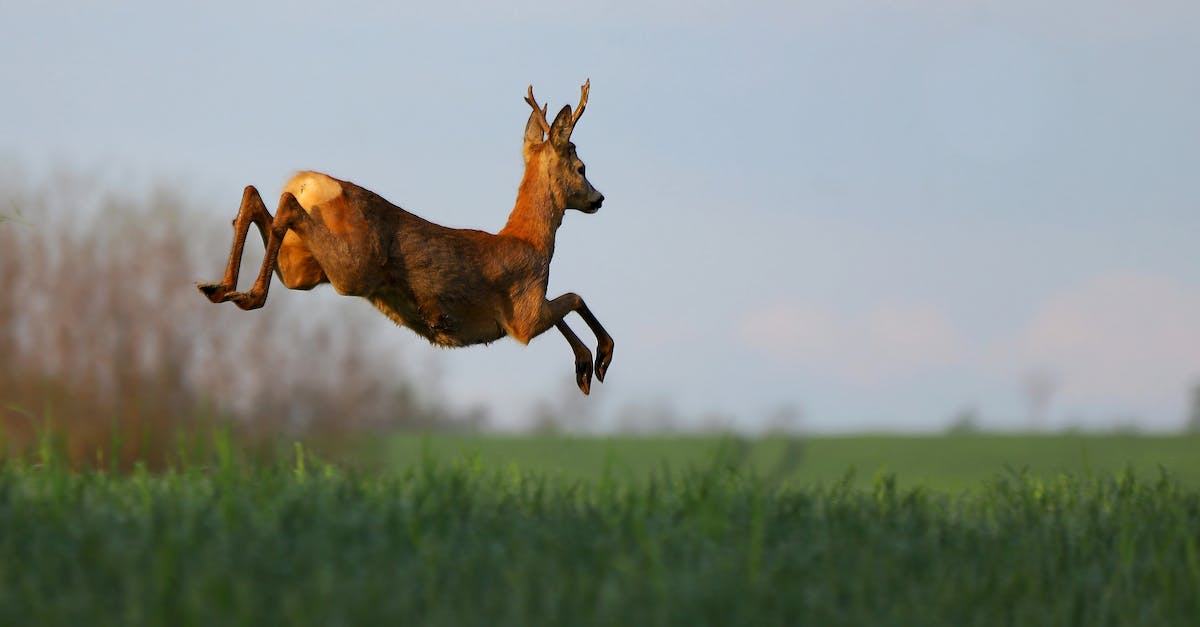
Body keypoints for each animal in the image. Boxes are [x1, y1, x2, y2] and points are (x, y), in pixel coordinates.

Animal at [197, 80, 612, 395]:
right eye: (581, 167)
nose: (599, 199)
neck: (531, 241)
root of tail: (310, 182)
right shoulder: (524, 316)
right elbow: (574, 297)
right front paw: (598, 360)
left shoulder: (531, 311)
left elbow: (568, 304)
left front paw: (585, 367)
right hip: (351, 267)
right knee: (284, 205)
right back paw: (247, 294)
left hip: (304, 269)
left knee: (256, 195)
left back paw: (220, 288)